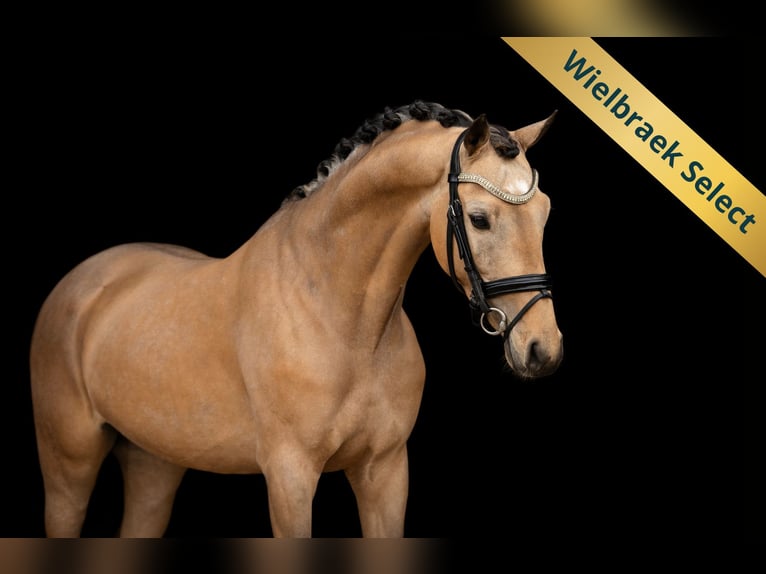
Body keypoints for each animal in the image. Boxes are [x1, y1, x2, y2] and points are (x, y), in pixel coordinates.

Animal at [29, 100, 563, 538]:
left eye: (545, 212)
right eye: (479, 218)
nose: (543, 349)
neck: (343, 322)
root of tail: (81, 283)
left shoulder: (386, 470)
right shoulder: (290, 477)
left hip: (154, 463)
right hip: (68, 465)